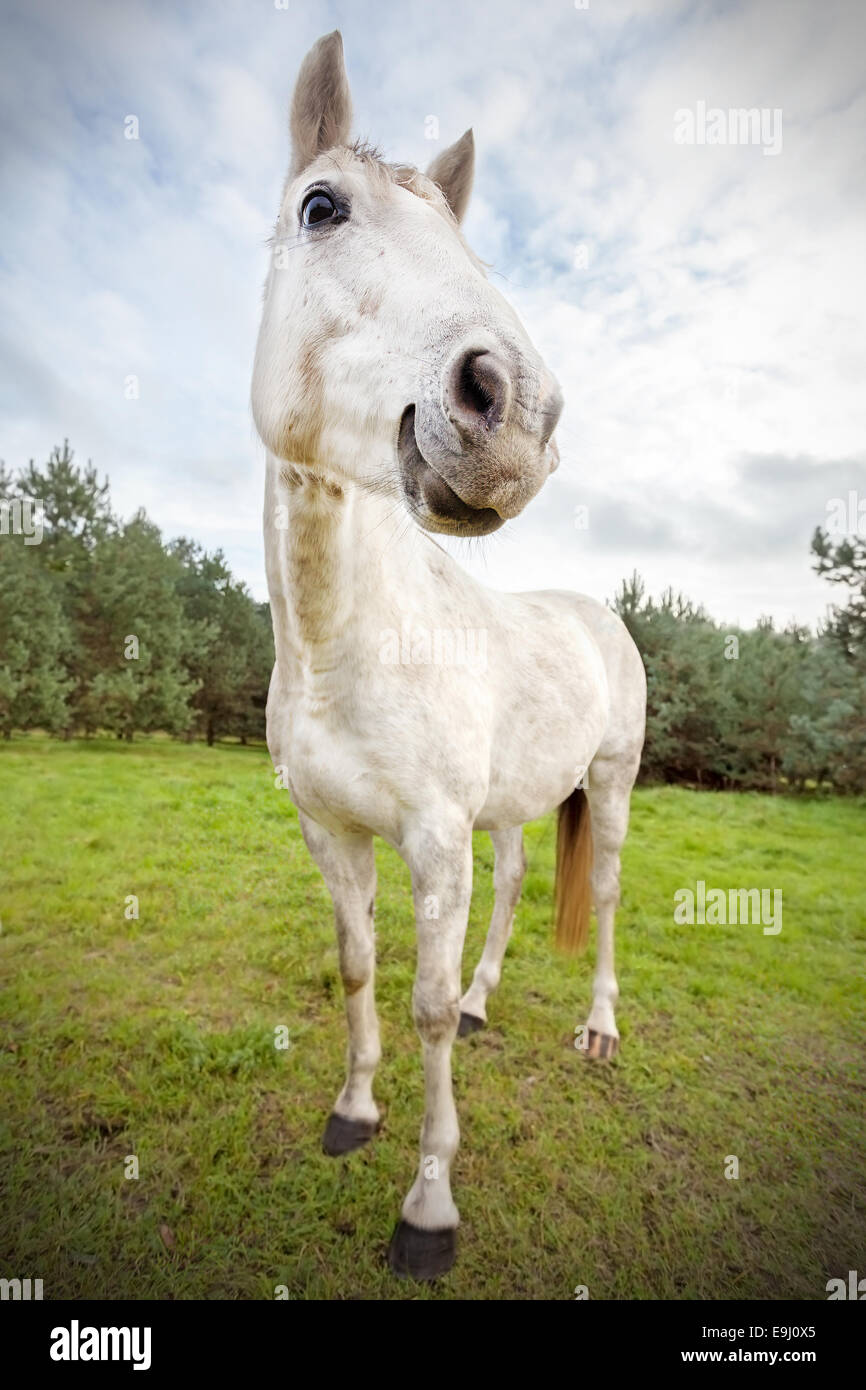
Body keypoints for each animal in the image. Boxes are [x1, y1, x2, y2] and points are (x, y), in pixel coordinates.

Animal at [250, 29, 644, 1278]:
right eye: (320, 206)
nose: (513, 410)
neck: (346, 646)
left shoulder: (432, 843)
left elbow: (417, 1006)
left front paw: (427, 1206)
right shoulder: (332, 832)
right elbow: (358, 968)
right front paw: (352, 1112)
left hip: (609, 783)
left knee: (600, 897)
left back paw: (595, 1027)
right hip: (514, 805)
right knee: (519, 882)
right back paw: (486, 998)